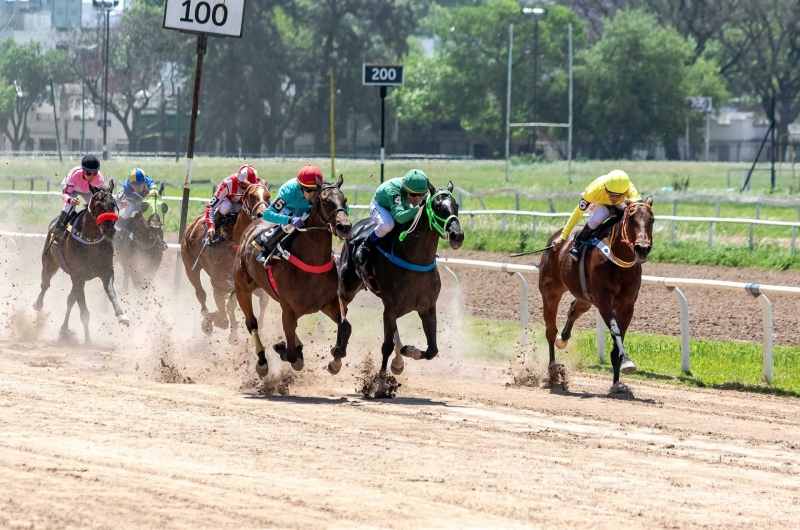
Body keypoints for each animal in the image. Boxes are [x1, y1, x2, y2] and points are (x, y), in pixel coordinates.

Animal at [33, 182, 128, 342]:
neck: (91, 241)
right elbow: (84, 311)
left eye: (113, 204)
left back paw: (64, 328)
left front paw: (121, 315)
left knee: (70, 299)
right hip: (49, 262)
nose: (109, 230)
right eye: (97, 205)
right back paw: (38, 305)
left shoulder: (106, 272)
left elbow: (111, 292)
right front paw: (88, 340)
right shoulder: (78, 275)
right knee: (45, 284)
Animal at [181, 179, 272, 340]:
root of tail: (192, 224)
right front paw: (213, 321)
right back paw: (207, 318)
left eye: (268, 196)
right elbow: (224, 314)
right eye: (251, 196)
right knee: (200, 294)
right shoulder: (218, 283)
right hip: (190, 266)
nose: (262, 215)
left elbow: (237, 304)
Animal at [234, 175, 354, 374]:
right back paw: (262, 360)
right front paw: (282, 348)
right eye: (325, 201)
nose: (344, 226)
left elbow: (346, 327)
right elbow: (290, 354)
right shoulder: (289, 309)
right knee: (252, 323)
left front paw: (335, 359)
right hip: (242, 289)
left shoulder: (328, 302)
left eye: (344, 200)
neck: (312, 261)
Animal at [336, 180, 462, 380]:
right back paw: (336, 358)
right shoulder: (390, 308)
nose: (457, 235)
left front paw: (408, 351)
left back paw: (398, 360)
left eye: (456, 206)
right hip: (348, 286)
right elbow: (386, 346)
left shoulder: (427, 307)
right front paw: (380, 383)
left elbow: (432, 350)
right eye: (437, 206)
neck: (415, 259)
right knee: (341, 307)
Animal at [536, 196, 656, 386]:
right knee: (550, 330)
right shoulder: (603, 299)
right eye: (631, 218)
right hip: (550, 293)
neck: (618, 261)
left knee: (573, 310)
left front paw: (617, 383)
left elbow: (619, 336)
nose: (642, 248)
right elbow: (615, 329)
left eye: (652, 219)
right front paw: (626, 362)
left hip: (584, 297)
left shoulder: (627, 304)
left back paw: (563, 339)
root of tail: (555, 240)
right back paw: (553, 371)